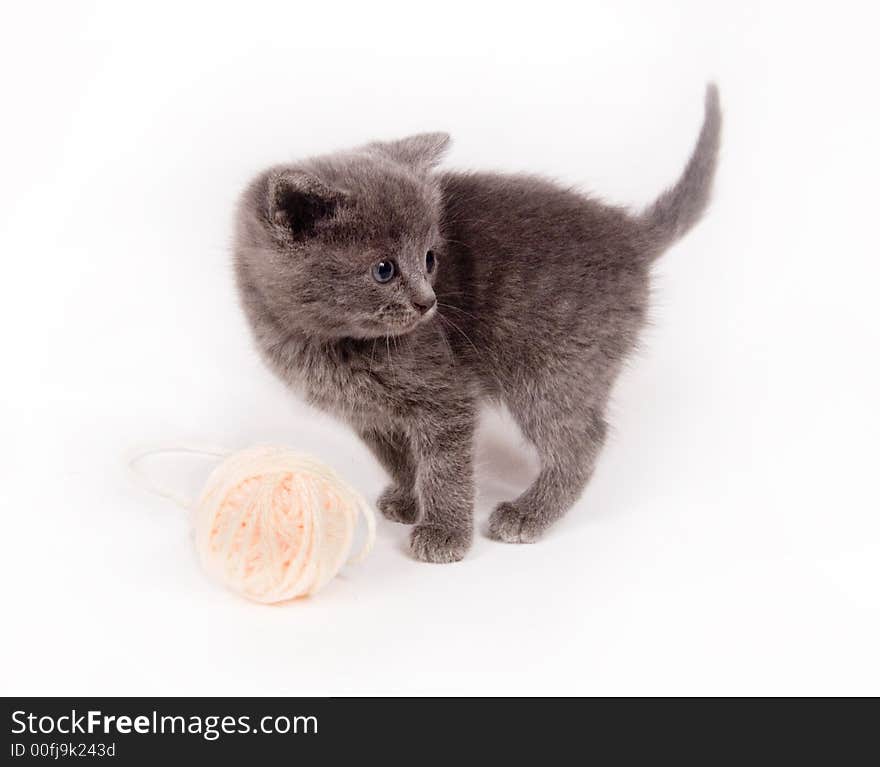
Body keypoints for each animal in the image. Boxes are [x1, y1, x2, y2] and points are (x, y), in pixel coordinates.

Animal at [234, 85, 720, 564]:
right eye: (384, 269)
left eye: (429, 259)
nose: (428, 302)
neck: (327, 342)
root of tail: (629, 235)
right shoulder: (370, 416)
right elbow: (399, 458)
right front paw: (409, 500)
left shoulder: (445, 396)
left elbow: (444, 467)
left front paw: (444, 532)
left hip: (553, 370)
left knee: (582, 440)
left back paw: (529, 514)